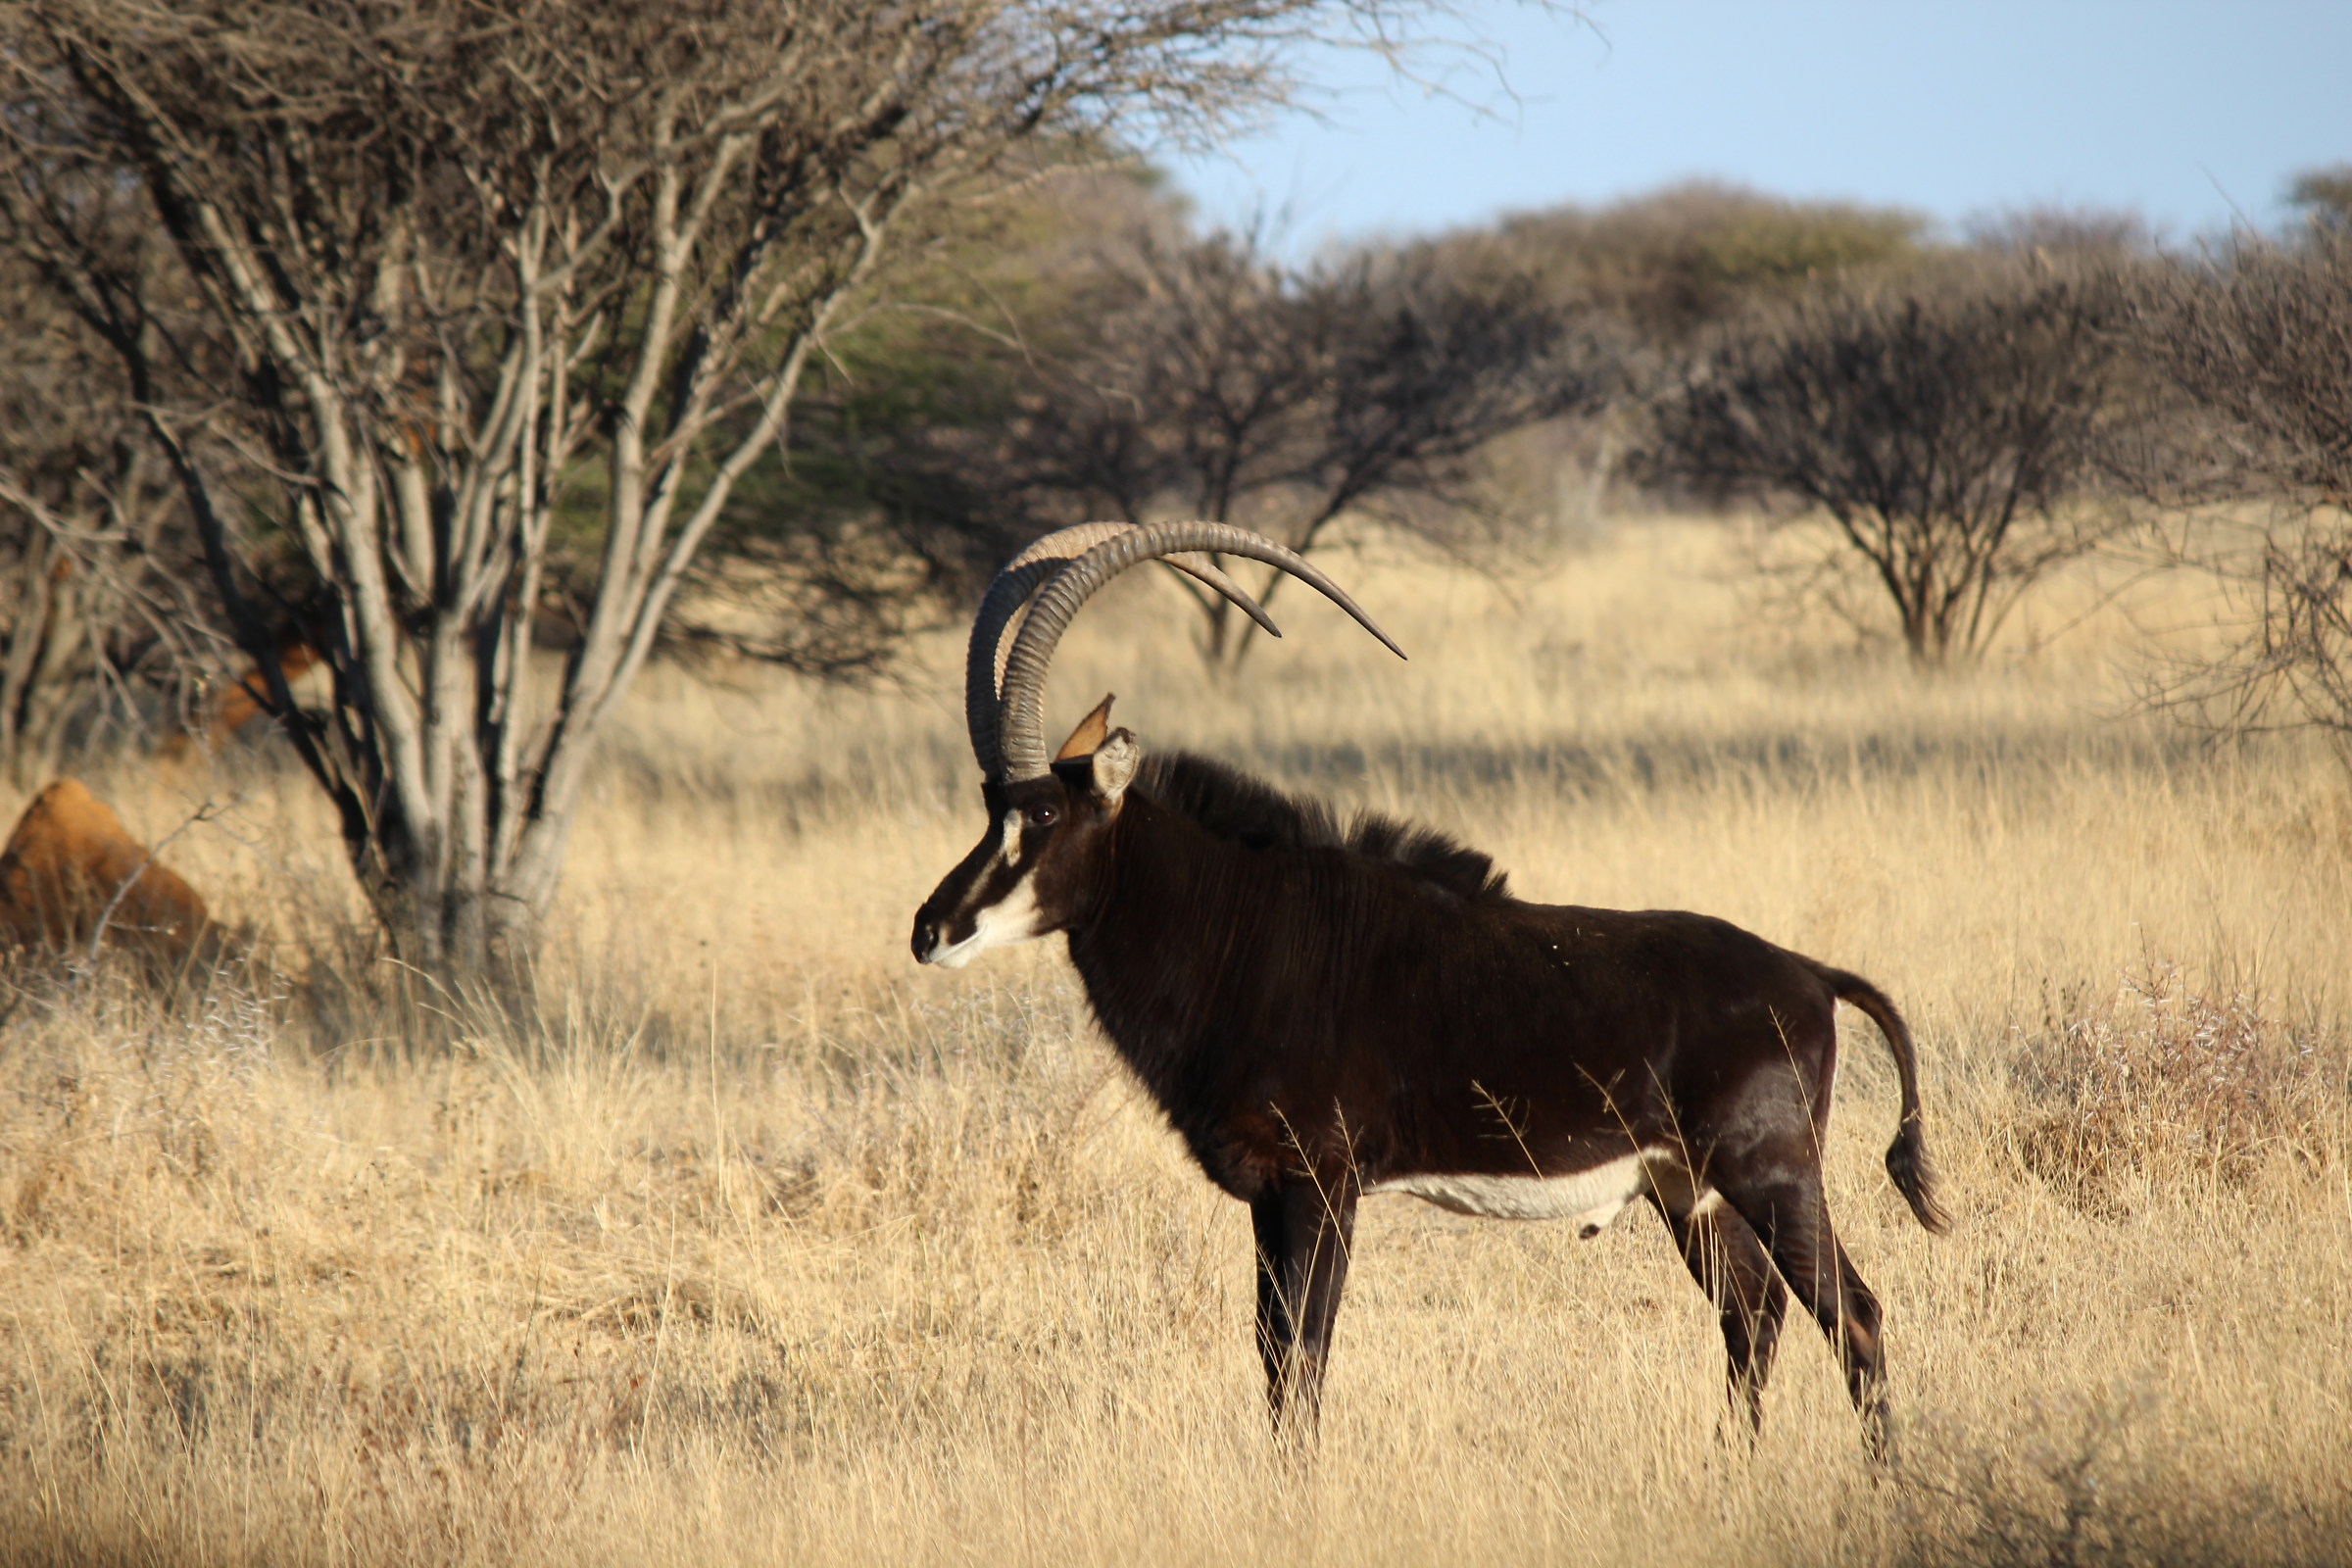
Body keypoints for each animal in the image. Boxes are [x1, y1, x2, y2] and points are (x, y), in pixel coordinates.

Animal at [912, 522, 1946, 1451]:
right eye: (989, 807)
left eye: (1046, 815)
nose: (931, 930)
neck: (1243, 923)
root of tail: (1811, 977)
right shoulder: (1268, 1195)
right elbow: (1271, 1355)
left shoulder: (1321, 1183)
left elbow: (1303, 1357)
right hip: (1685, 1190)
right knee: (1754, 1313)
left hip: (1772, 1174)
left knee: (1851, 1312)